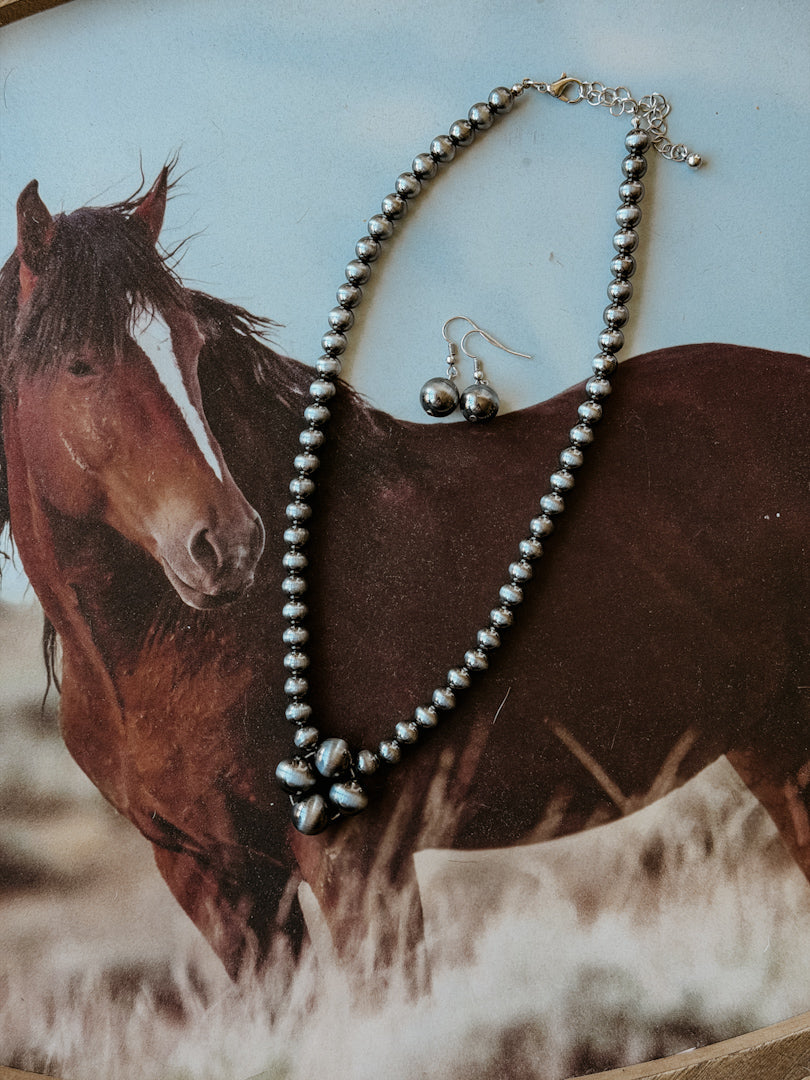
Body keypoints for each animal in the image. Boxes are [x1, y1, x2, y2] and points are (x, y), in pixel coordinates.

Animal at [1, 166, 808, 982]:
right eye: (81, 363)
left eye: (193, 349)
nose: (227, 544)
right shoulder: (218, 882)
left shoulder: (360, 862)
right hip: (771, 747)